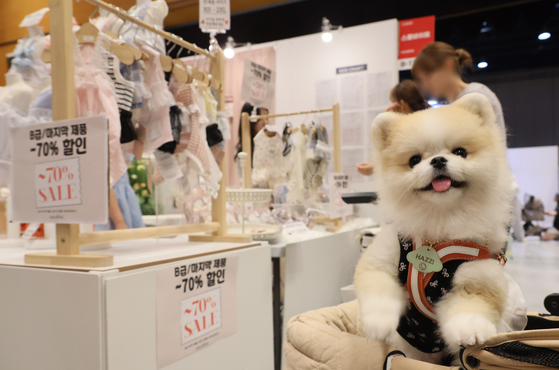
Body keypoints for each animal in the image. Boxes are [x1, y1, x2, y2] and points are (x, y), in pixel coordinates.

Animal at [356, 93, 520, 364]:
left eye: (460, 152)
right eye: (414, 160)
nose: (438, 159)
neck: (440, 224)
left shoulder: (477, 279)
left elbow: (471, 309)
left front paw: (472, 331)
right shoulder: (382, 260)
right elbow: (378, 291)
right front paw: (378, 324)